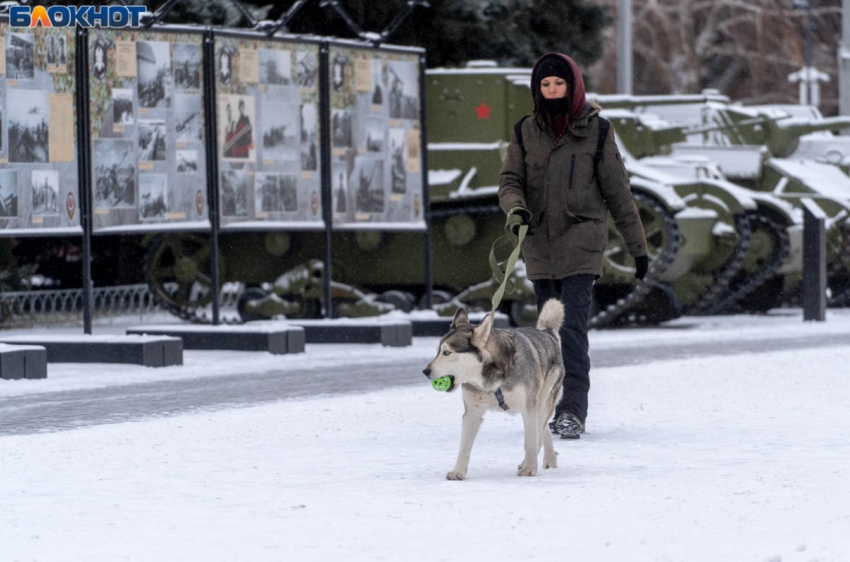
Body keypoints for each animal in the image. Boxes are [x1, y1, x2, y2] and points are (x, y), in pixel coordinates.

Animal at [422, 300, 564, 480]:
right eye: (438, 352)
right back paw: (549, 458)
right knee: (544, 429)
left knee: (539, 432)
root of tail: (547, 333)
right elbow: (464, 447)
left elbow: (530, 442)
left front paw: (529, 468)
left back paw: (531, 461)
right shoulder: (472, 413)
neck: (492, 379)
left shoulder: (528, 409)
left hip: (543, 402)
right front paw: (458, 471)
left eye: (447, 352)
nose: (425, 371)